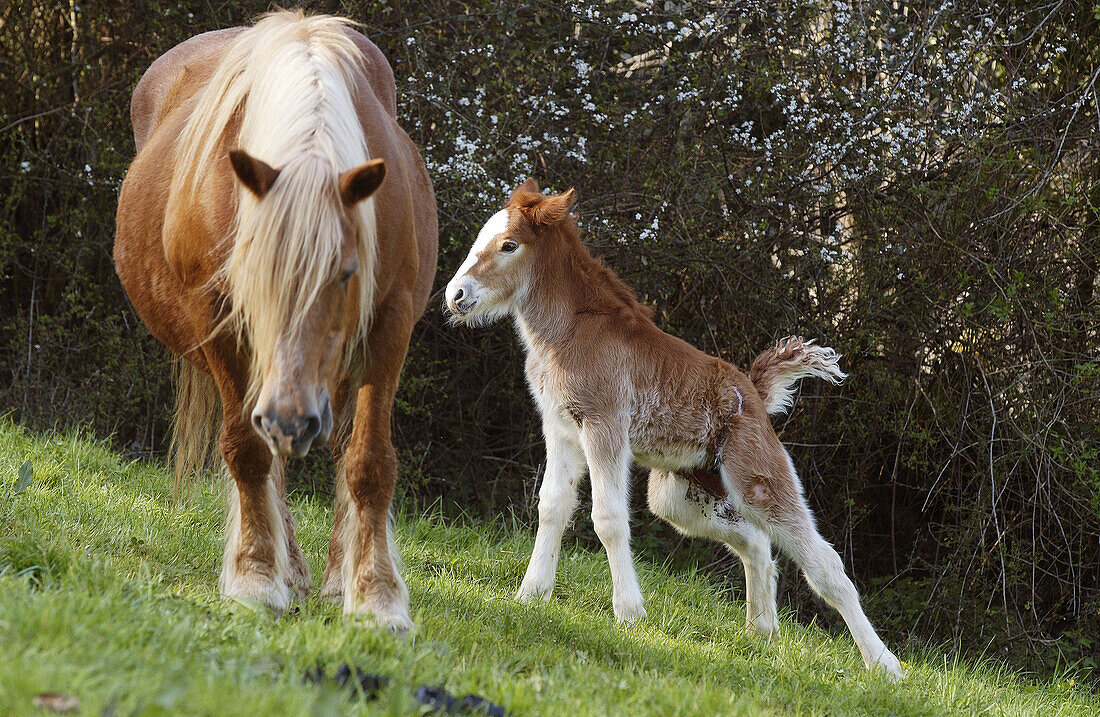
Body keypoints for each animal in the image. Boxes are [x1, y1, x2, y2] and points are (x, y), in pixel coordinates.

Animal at [112, 8, 437, 629]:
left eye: (347, 273)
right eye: (250, 277)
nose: (292, 419)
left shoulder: (390, 325)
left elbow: (368, 461)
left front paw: (376, 596)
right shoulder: (217, 321)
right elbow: (247, 451)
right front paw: (256, 577)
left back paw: (334, 578)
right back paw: (291, 568)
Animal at [444, 179, 902, 677]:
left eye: (509, 245)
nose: (455, 296)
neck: (568, 331)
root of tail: (755, 391)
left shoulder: (603, 426)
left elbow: (608, 518)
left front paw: (629, 612)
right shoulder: (561, 430)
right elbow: (552, 506)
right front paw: (531, 595)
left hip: (760, 476)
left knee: (824, 563)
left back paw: (884, 663)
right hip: (679, 494)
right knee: (756, 543)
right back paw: (760, 632)